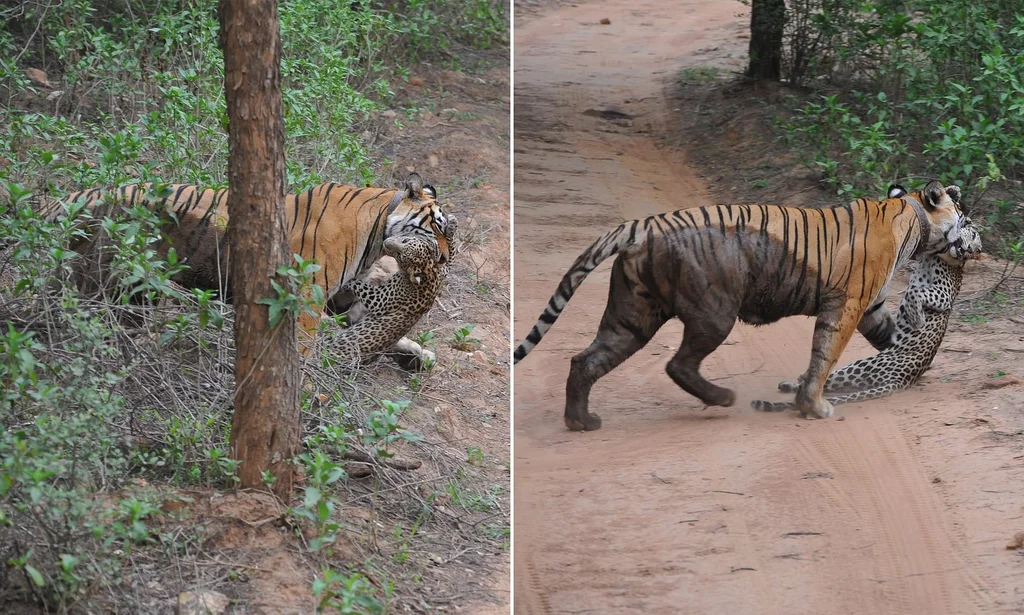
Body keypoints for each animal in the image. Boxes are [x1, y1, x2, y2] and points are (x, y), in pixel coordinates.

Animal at [39, 172, 448, 347]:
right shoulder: (307, 299)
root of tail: (58, 203)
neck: (377, 231)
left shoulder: (343, 296)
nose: (444, 258)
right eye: (437, 227)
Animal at [516, 180, 962, 429]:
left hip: (632, 315)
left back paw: (581, 422)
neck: (912, 218)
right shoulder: (848, 305)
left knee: (585, 360)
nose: (971, 225)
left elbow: (890, 338)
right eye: (962, 213)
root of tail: (643, 225)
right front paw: (813, 406)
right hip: (714, 312)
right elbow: (824, 357)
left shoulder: (871, 307)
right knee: (678, 364)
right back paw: (722, 398)